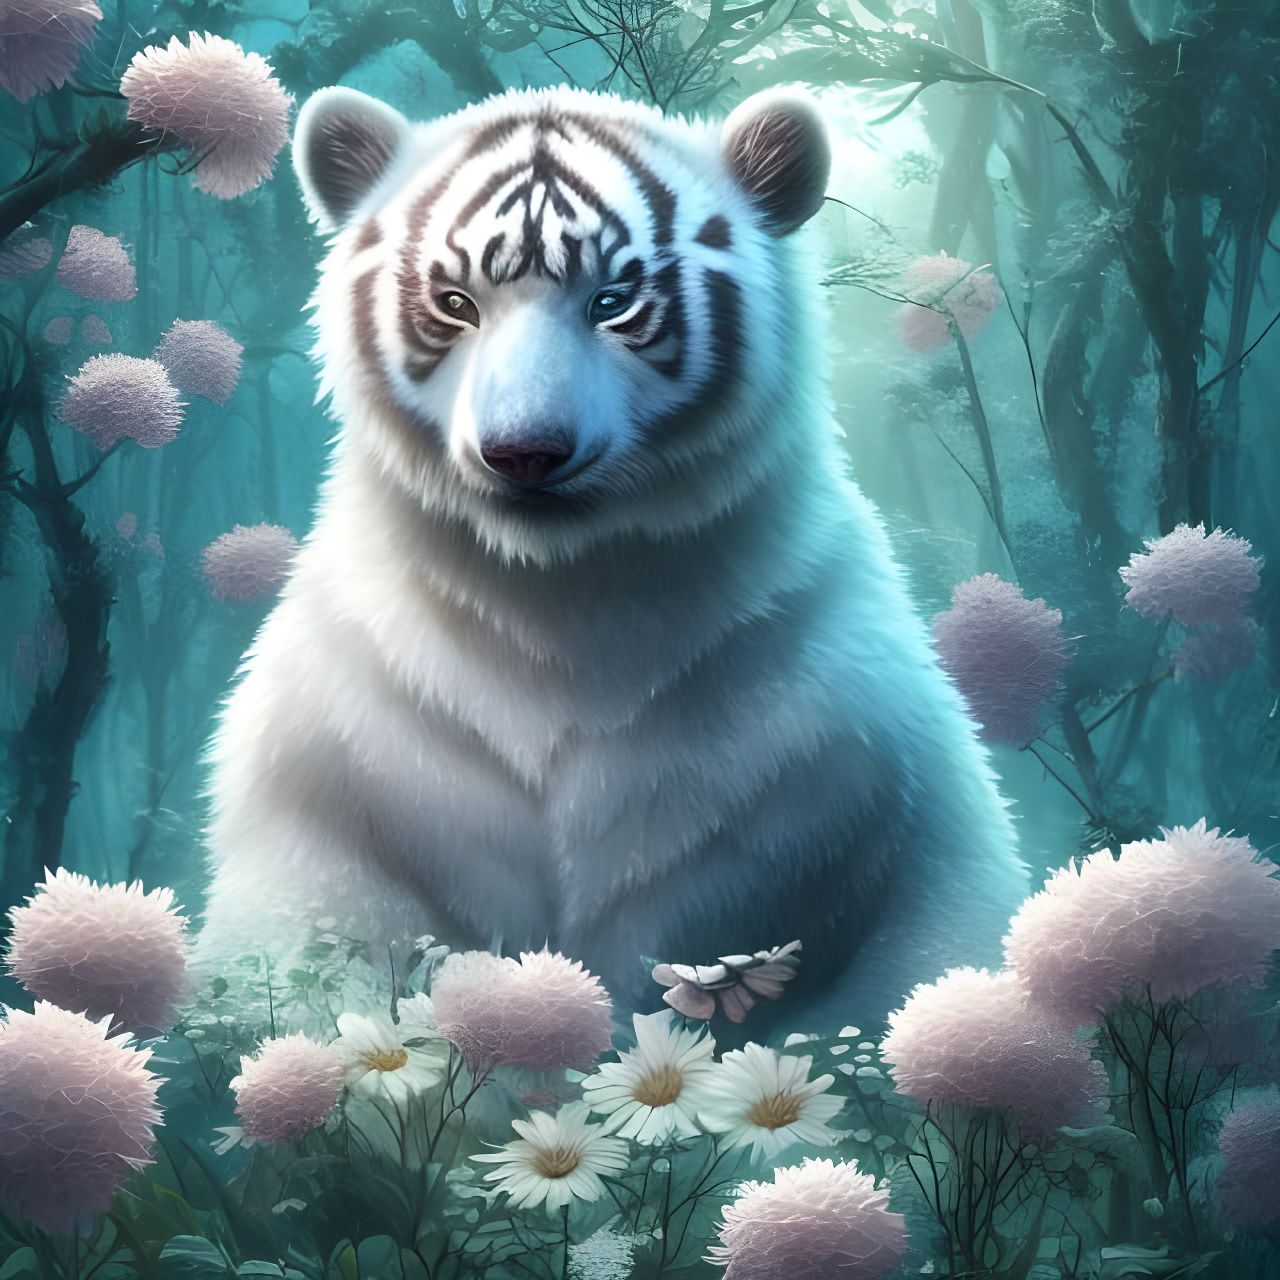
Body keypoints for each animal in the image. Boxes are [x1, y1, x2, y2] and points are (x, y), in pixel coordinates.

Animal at [197, 82, 1027, 1031]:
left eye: (615, 300)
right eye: (455, 302)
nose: (525, 452)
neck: (563, 596)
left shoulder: (863, 765)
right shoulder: (335, 782)